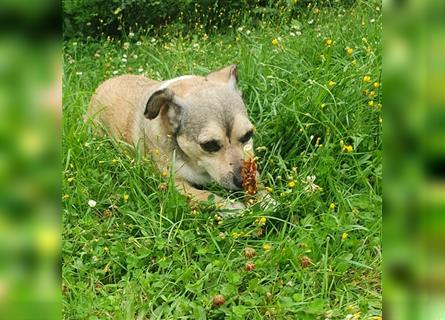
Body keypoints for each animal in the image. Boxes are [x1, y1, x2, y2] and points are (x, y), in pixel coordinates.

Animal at [85, 64, 262, 210]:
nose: (243, 181)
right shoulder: (174, 184)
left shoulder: (249, 156)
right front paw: (232, 207)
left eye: (248, 134)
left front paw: (264, 199)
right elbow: (205, 195)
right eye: (209, 145)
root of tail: (104, 82)